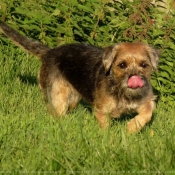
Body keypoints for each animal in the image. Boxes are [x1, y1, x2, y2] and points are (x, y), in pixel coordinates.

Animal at [0, 20, 159, 133]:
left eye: (144, 65)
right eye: (122, 65)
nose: (134, 77)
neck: (122, 91)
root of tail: (50, 52)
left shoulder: (147, 100)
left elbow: (147, 113)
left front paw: (132, 127)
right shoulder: (102, 110)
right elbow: (105, 127)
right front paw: (108, 139)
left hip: (74, 99)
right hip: (58, 95)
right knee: (57, 112)